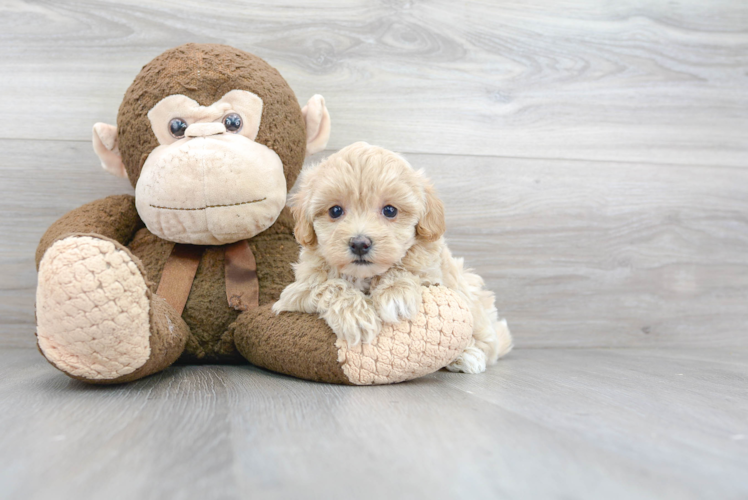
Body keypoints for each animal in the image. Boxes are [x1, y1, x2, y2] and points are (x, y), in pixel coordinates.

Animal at [274, 141, 516, 372]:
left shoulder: (432, 276)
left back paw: (467, 355)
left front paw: (395, 292)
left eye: (390, 210)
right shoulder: (295, 293)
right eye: (335, 211)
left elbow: (402, 270)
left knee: (487, 343)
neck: (363, 275)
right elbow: (329, 286)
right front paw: (356, 316)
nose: (360, 243)